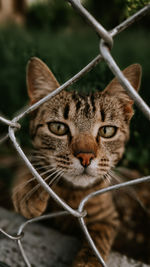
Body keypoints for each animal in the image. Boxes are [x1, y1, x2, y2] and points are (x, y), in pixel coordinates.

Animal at [12, 57, 142, 266]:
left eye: (107, 131)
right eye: (58, 128)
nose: (86, 157)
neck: (71, 194)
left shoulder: (107, 218)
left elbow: (98, 241)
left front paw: (88, 261)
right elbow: (30, 164)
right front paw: (30, 193)